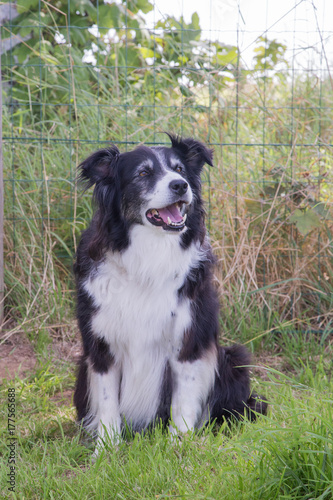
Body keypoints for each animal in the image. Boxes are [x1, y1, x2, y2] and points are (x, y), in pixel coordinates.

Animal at [74, 134, 266, 450]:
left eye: (180, 169)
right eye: (143, 173)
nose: (180, 185)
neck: (149, 255)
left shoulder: (188, 339)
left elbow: (183, 400)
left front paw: (180, 444)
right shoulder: (101, 345)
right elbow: (107, 402)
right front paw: (106, 449)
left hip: (233, 359)